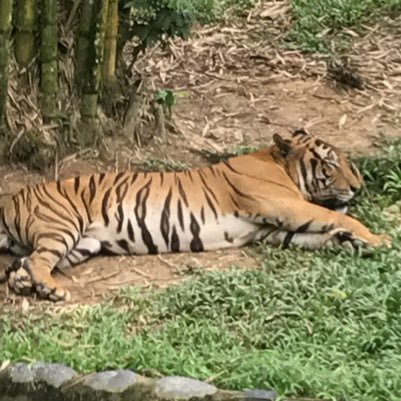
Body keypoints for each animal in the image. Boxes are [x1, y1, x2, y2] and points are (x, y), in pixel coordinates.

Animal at [0, 128, 390, 300]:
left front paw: (348, 243)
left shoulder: (269, 229)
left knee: (25, 263)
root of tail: (11, 200)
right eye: (330, 164)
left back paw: (28, 285)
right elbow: (341, 217)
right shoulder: (285, 206)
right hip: (63, 227)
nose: (358, 186)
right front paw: (379, 239)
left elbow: (315, 235)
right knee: (39, 261)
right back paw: (53, 290)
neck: (282, 168)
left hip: (85, 243)